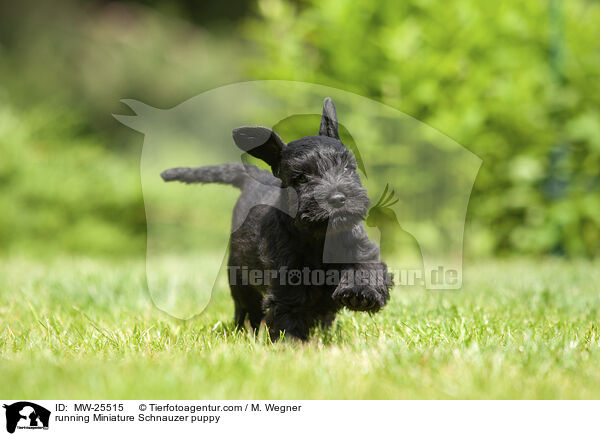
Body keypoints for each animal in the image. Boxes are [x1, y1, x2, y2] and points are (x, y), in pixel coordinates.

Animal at [162, 98, 392, 340]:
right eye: (302, 178)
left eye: (347, 167)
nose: (339, 199)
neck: (317, 237)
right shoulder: (286, 279)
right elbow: (289, 310)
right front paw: (292, 342)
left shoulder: (361, 249)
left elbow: (365, 267)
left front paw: (361, 292)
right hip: (240, 279)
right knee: (246, 308)